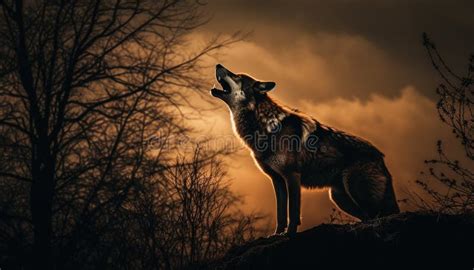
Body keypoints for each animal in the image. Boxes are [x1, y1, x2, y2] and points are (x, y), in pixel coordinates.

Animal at [211, 64, 400, 235]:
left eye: (236, 76)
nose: (218, 65)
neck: (266, 126)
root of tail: (380, 156)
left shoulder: (292, 176)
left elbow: (293, 212)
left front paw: (289, 235)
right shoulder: (277, 180)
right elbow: (281, 213)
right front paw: (276, 235)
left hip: (356, 191)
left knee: (377, 216)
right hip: (339, 197)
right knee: (367, 217)